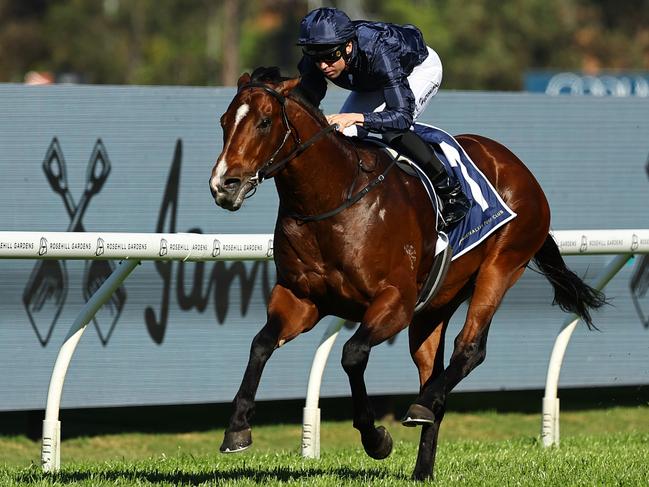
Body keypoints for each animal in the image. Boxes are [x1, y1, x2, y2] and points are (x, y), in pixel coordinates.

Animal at [208, 67, 604, 480]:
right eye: (224, 122)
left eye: (265, 122)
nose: (224, 185)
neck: (333, 199)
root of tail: (516, 166)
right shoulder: (301, 299)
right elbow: (261, 344)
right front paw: (237, 428)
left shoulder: (395, 302)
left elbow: (352, 354)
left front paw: (376, 439)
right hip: (435, 306)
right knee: (435, 370)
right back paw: (422, 467)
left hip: (502, 266)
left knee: (470, 348)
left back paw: (422, 405)